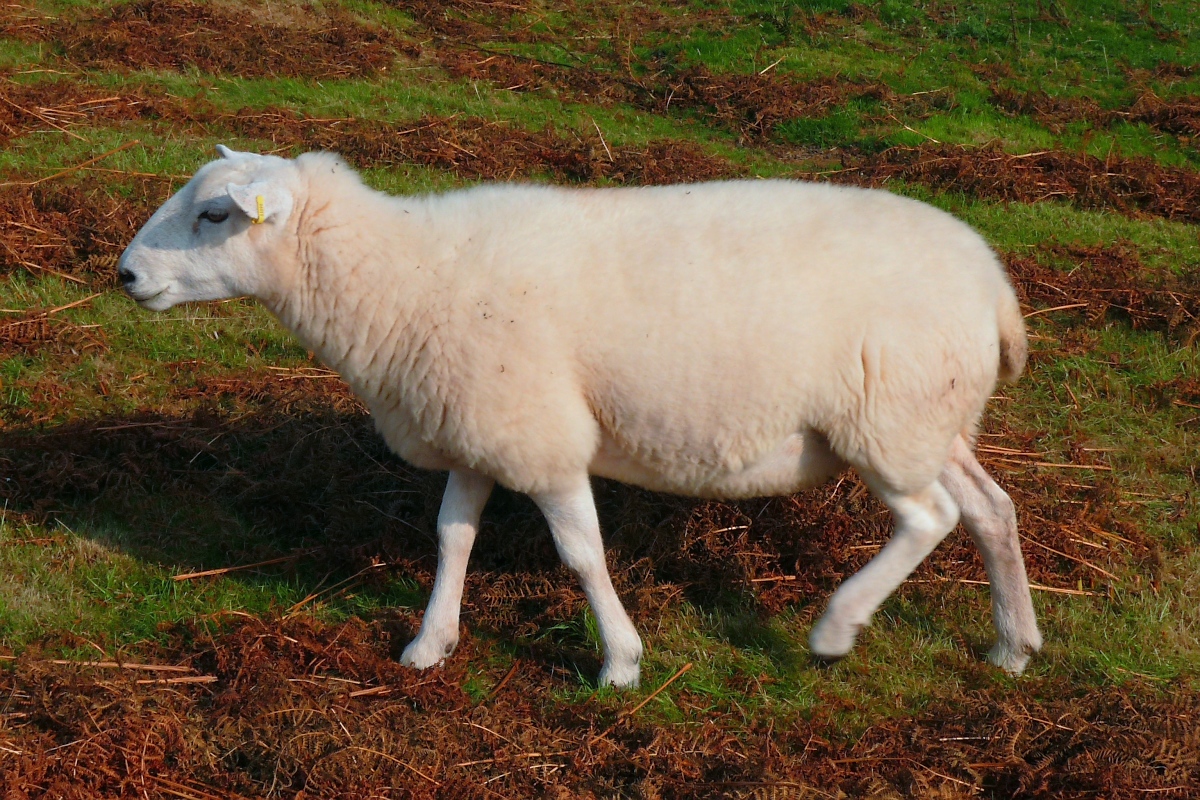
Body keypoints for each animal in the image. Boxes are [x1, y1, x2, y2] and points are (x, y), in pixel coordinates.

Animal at [117, 145, 1046, 690]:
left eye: (214, 215)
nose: (125, 275)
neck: (399, 277)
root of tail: (994, 288)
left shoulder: (542, 437)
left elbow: (581, 554)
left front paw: (621, 661)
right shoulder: (475, 427)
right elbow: (453, 537)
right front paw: (429, 644)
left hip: (889, 420)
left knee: (931, 518)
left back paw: (835, 626)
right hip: (933, 419)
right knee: (991, 510)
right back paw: (1013, 645)